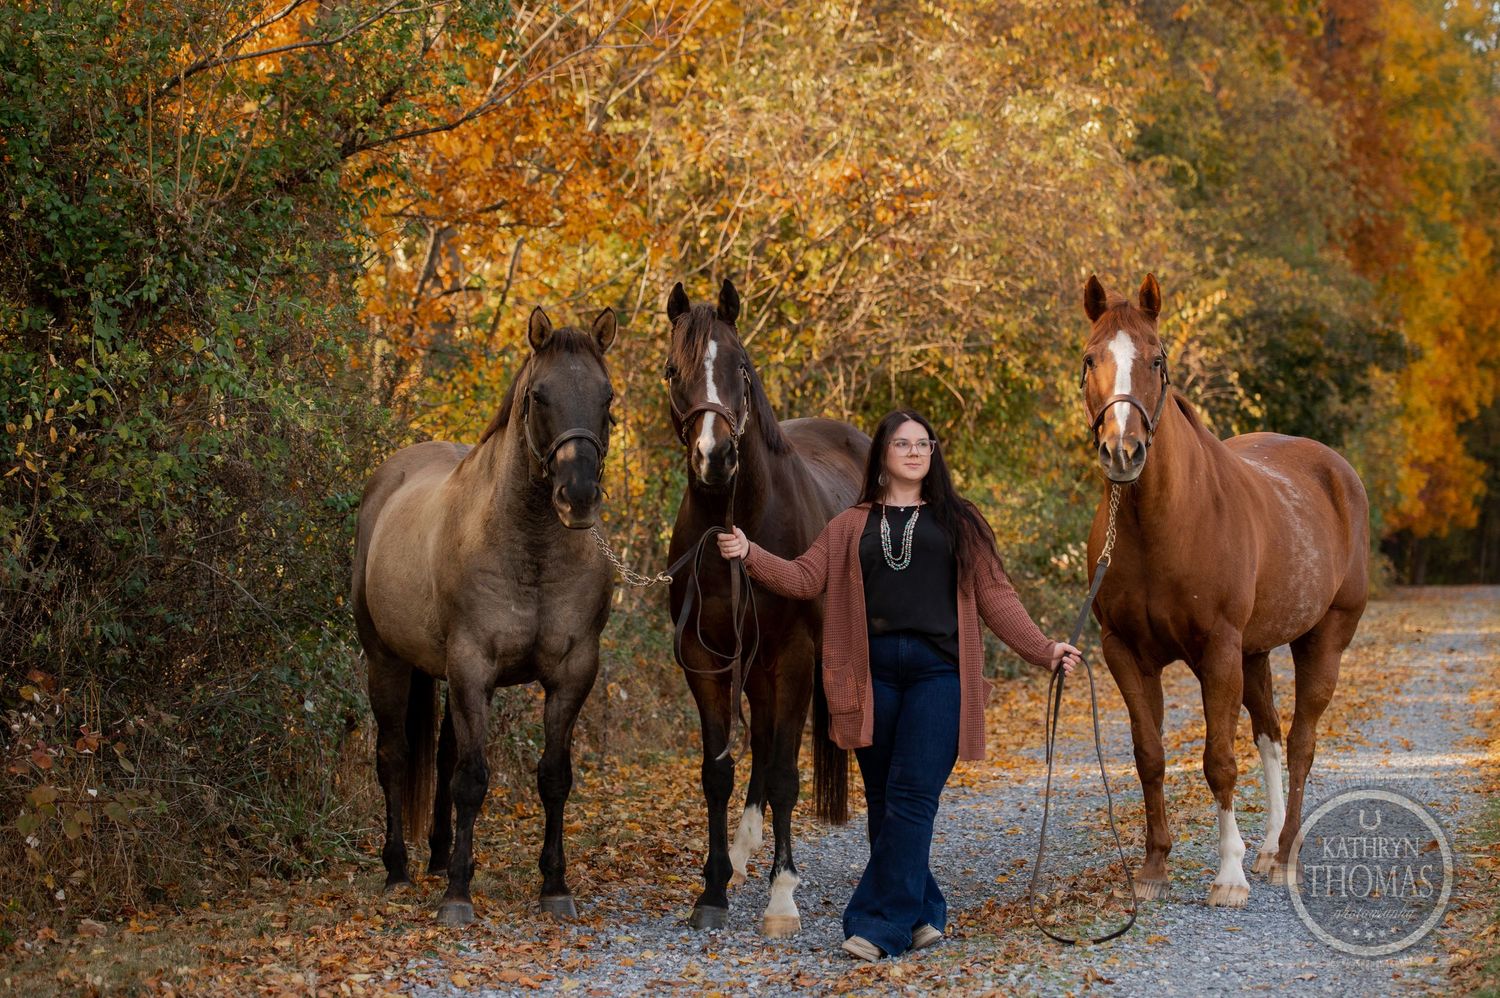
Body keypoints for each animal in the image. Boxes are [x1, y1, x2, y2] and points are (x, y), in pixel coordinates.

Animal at [351, 306, 618, 926]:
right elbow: (471, 780)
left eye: (607, 396)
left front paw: (554, 886)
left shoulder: (572, 673)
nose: (578, 496)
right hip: (386, 661)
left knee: (444, 754)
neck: (531, 548)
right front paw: (457, 896)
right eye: (539, 396)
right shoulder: (473, 667)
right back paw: (398, 870)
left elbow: (553, 776)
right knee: (394, 757)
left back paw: (436, 856)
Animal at [663, 279, 869, 935]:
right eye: (672, 371)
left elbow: (784, 774)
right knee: (759, 742)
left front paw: (782, 899)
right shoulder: (706, 661)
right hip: (754, 666)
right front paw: (713, 889)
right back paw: (743, 851)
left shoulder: (797, 658)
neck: (739, 525)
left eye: (741, 368)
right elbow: (719, 771)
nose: (715, 459)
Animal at [1078, 274, 1369, 907]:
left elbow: (1218, 761)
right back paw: (1269, 847)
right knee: (1271, 735)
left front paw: (1229, 875)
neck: (1162, 524)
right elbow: (1150, 756)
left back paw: (1284, 858)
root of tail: (1337, 471)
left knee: (1302, 741)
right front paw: (1154, 867)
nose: (1122, 451)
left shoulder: (1216, 651)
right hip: (1255, 652)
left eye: (1157, 359)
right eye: (1090, 359)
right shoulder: (1125, 653)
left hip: (1322, 639)